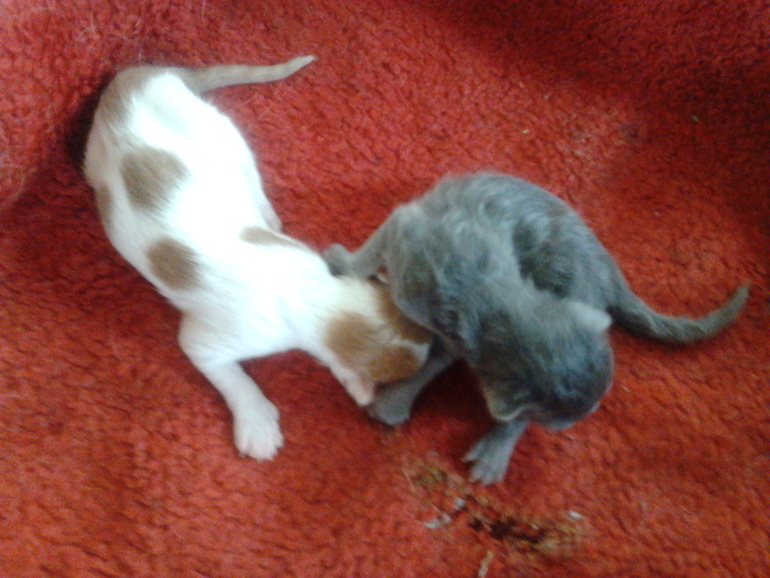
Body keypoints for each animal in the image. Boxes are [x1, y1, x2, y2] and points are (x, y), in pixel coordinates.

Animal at [84, 57, 431, 462]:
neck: (312, 289)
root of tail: (146, 76)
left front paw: (353, 382)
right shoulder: (207, 342)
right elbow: (233, 377)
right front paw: (257, 422)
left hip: (220, 136)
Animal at [324, 172, 749, 484]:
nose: (578, 418)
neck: (494, 293)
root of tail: (609, 271)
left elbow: (440, 359)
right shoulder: (412, 238)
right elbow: (375, 254)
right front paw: (343, 263)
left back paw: (494, 452)